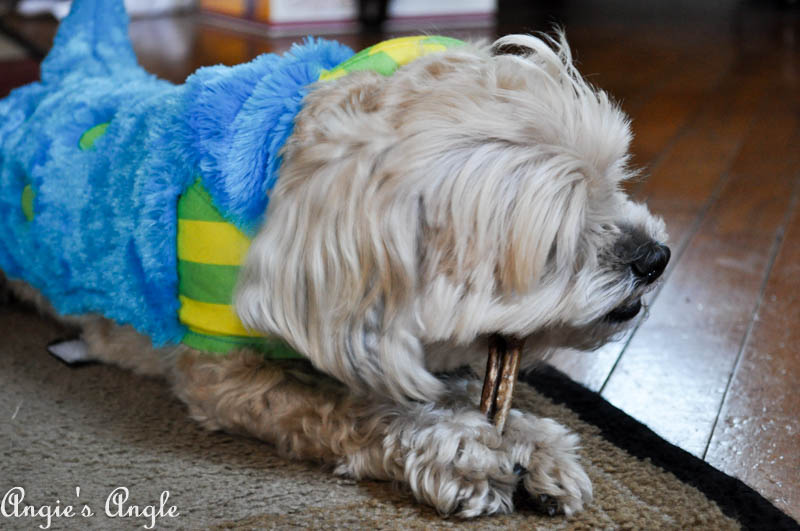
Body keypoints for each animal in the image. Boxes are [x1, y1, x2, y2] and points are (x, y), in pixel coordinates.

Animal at [0, 0, 668, 520]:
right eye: (557, 233)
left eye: (614, 179)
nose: (657, 256)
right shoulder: (222, 376)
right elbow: (352, 408)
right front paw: (463, 451)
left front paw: (534, 441)